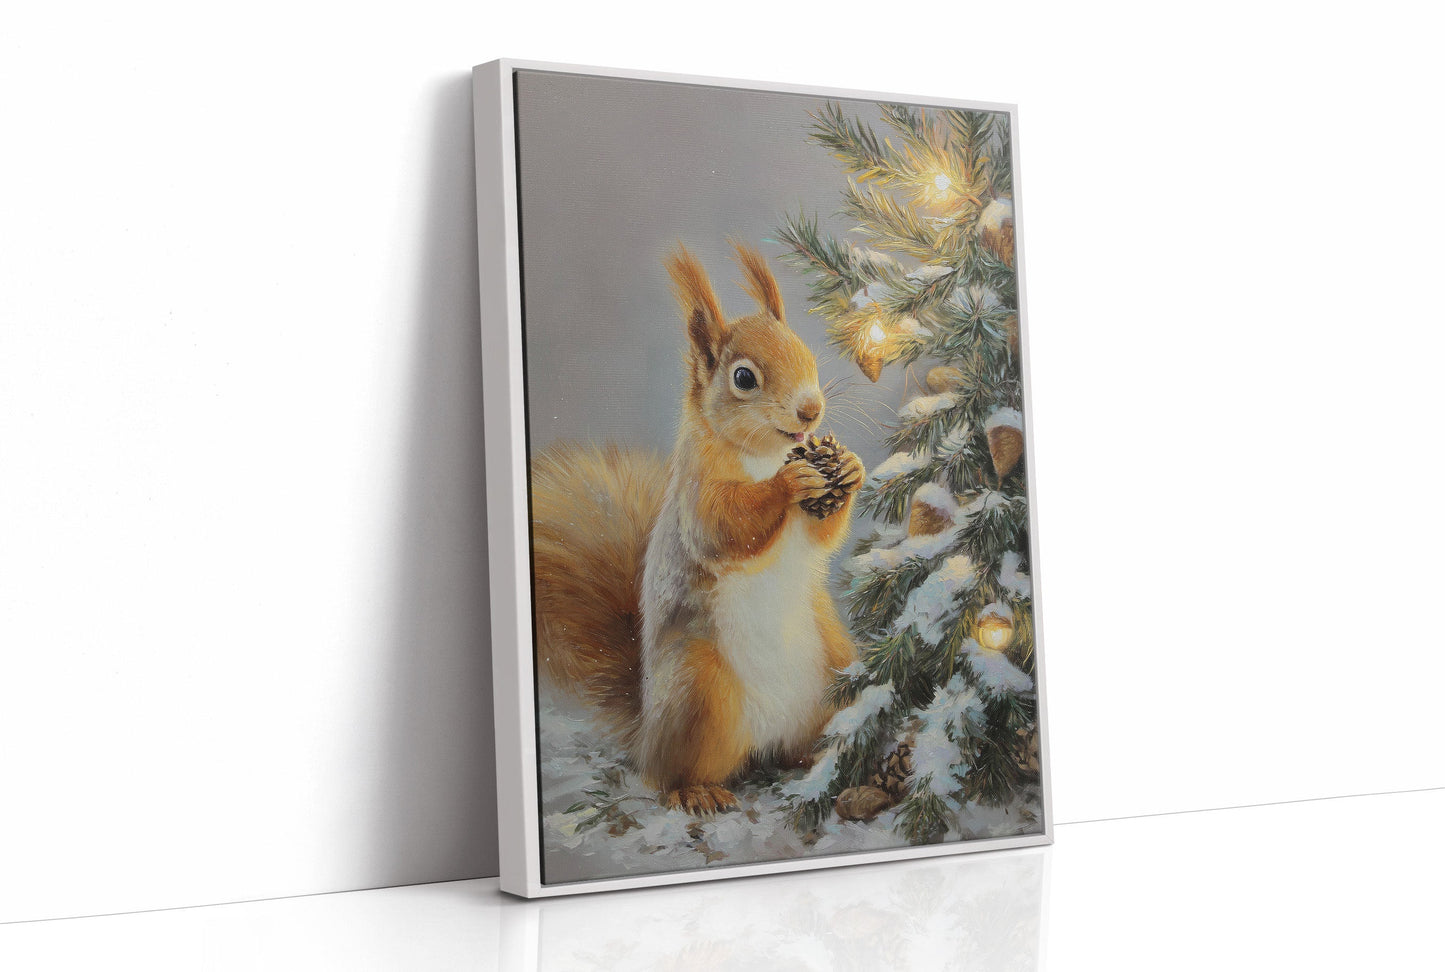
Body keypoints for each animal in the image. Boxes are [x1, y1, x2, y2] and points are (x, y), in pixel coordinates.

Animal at [529, 242, 865, 815]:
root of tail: (645, 734)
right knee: (670, 775)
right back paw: (698, 790)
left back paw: (826, 759)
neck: (764, 454)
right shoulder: (695, 492)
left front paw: (850, 468)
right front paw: (789, 482)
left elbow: (820, 535)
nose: (811, 409)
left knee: (804, 743)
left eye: (808, 355)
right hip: (701, 688)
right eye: (744, 378)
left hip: (838, 664)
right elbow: (725, 525)